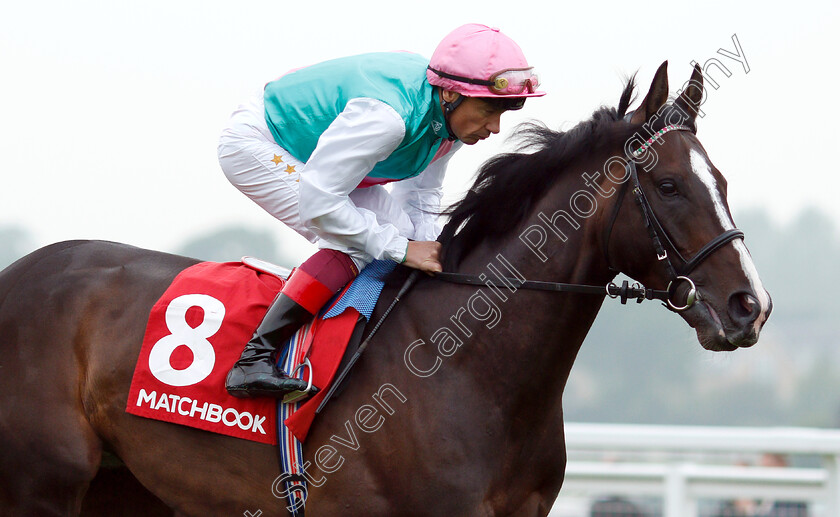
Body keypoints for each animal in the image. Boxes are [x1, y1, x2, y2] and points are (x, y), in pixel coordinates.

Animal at [0, 64, 772, 516]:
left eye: (722, 181)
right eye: (668, 186)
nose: (750, 306)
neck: (470, 369)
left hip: (120, 486)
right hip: (42, 483)